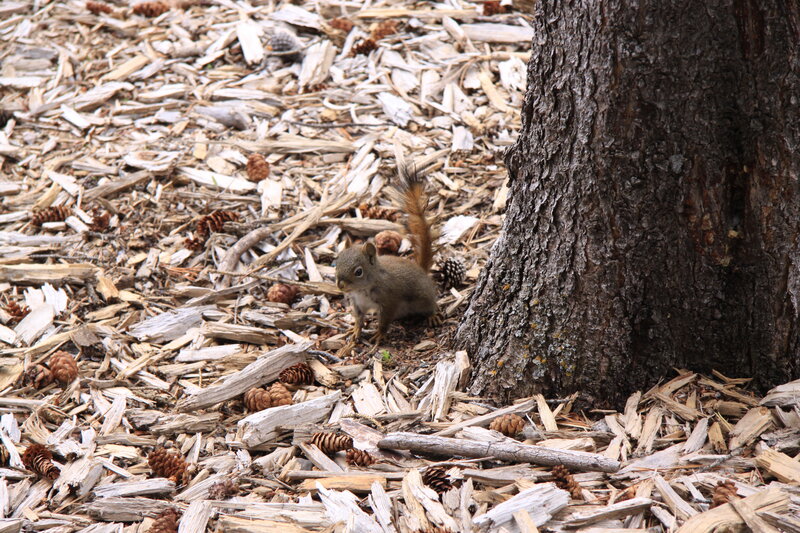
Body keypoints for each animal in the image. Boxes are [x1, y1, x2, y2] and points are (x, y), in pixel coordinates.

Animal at [335, 162, 438, 343]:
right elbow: (359, 318)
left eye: (358, 272)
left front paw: (379, 334)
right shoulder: (357, 303)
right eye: (336, 263)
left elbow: (385, 319)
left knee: (431, 304)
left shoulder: (389, 300)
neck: (362, 289)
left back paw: (432, 315)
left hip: (423, 297)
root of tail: (421, 270)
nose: (340, 285)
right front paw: (355, 330)